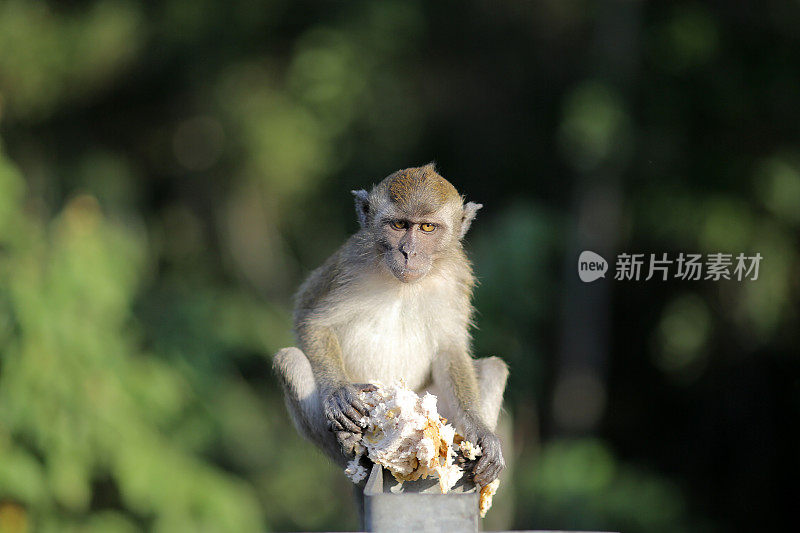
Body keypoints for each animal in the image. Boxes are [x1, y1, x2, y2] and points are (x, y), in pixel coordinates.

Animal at [276, 163, 510, 490]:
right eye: (399, 225)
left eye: (427, 228)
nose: (408, 252)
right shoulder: (351, 262)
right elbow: (313, 322)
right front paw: (338, 391)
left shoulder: (455, 277)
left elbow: (450, 350)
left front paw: (481, 432)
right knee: (289, 358)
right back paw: (349, 444)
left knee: (494, 367)